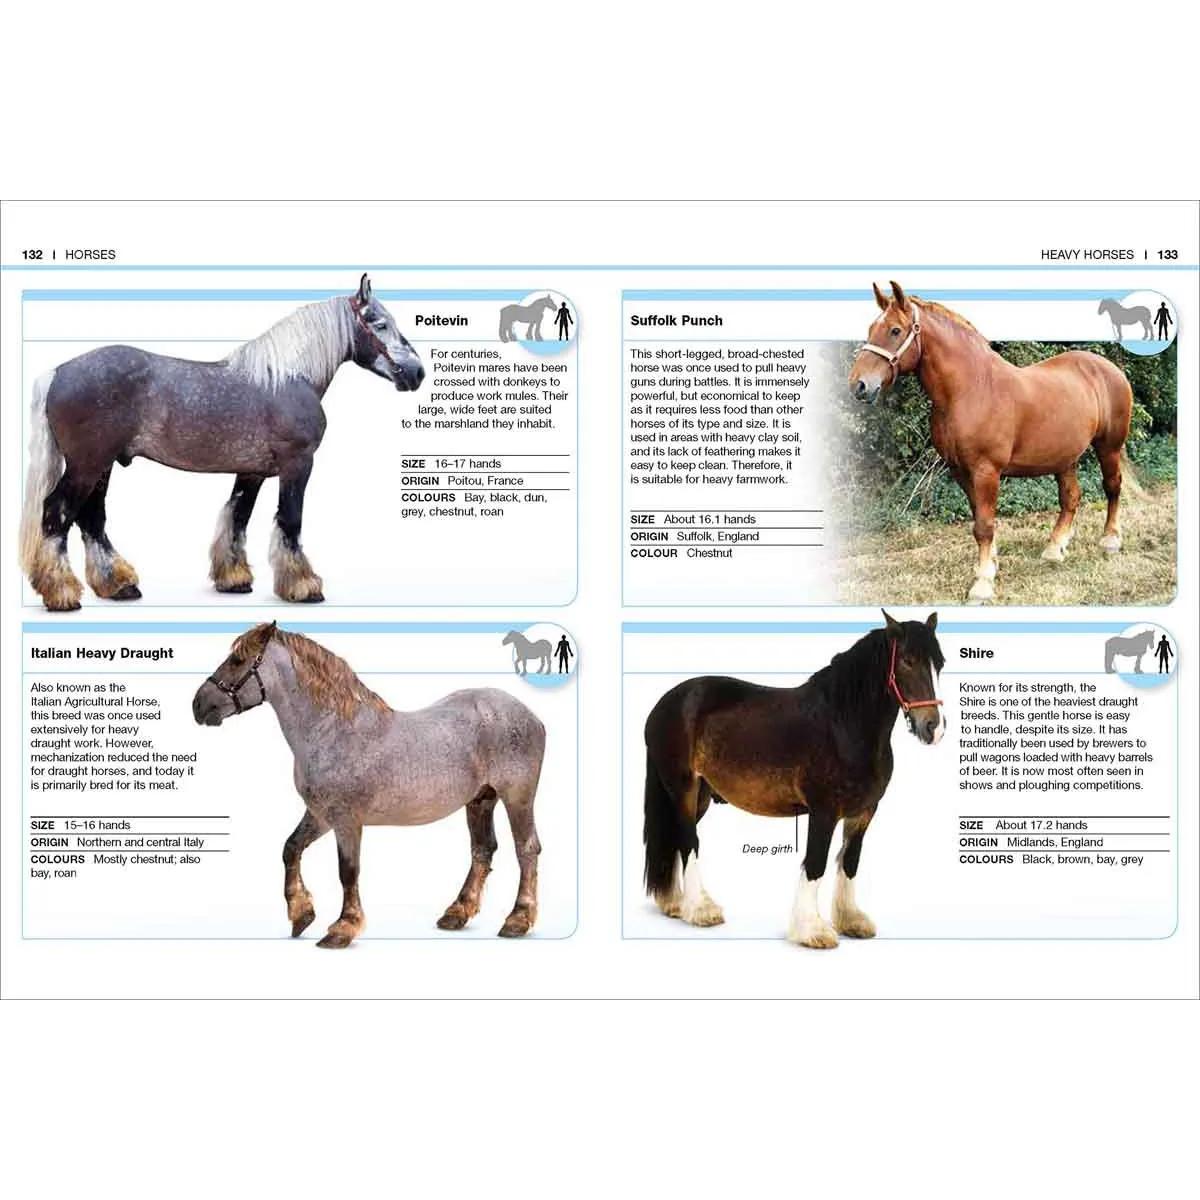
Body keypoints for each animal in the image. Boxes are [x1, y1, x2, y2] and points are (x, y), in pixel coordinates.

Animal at [19, 275, 424, 612]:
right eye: (380, 324)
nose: (417, 373)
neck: (287, 379)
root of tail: (57, 372)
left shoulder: (252, 472)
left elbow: (237, 518)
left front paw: (234, 580)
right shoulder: (297, 464)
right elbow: (290, 521)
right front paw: (303, 586)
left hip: (101, 466)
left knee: (91, 519)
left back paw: (118, 586)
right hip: (87, 466)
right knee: (57, 513)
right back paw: (61, 592)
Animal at [192, 623, 546, 946]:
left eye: (238, 660)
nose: (199, 705)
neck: (333, 730)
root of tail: (531, 715)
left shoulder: (347, 821)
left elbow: (348, 870)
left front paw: (342, 928)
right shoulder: (320, 815)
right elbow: (290, 849)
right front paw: (301, 914)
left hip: (517, 797)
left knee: (526, 849)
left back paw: (518, 920)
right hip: (480, 800)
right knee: (482, 850)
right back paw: (457, 913)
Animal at [643, 612, 944, 948]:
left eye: (940, 663)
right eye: (907, 660)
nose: (933, 727)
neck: (843, 725)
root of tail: (663, 705)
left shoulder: (864, 812)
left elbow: (850, 862)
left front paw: (851, 921)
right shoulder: (824, 811)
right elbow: (815, 864)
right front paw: (812, 930)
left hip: (700, 796)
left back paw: (674, 904)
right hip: (683, 788)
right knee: (688, 842)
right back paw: (701, 910)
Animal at [849, 282, 1136, 604]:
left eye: (895, 330)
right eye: (871, 327)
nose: (859, 385)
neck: (971, 389)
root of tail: (1110, 368)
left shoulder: (986, 470)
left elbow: (984, 526)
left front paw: (982, 584)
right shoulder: (960, 471)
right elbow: (980, 519)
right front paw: (991, 565)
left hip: (1108, 446)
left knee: (1112, 487)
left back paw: (1110, 541)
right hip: (1066, 457)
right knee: (1071, 497)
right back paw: (1054, 549)